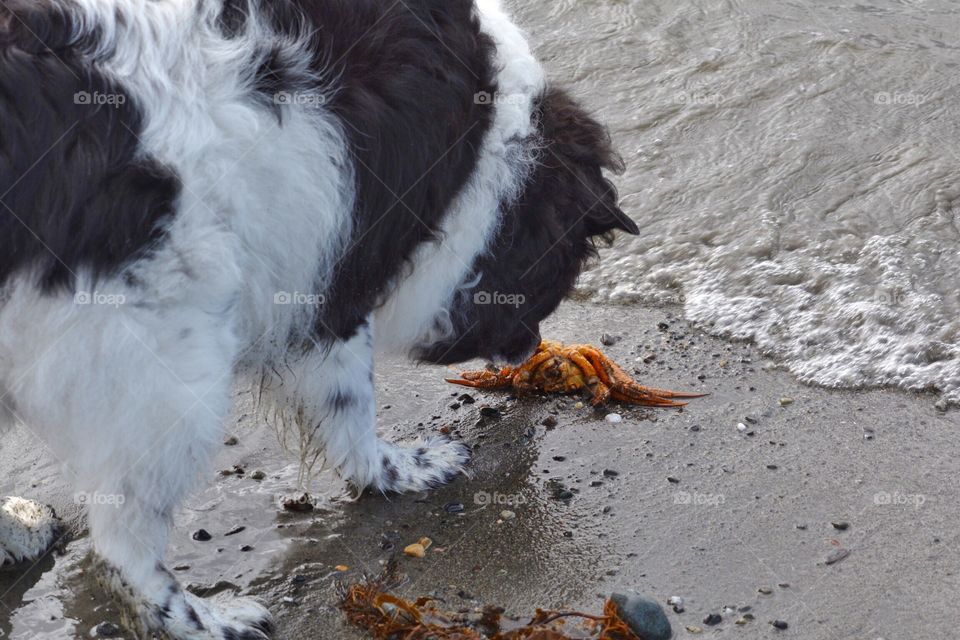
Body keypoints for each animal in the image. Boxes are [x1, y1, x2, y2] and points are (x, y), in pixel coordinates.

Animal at [0, 0, 640, 636]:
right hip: (172, 379)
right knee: (123, 551)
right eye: (556, 273)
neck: (480, 150)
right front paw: (407, 469)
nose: (532, 348)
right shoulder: (331, 281)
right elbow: (352, 413)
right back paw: (208, 619)